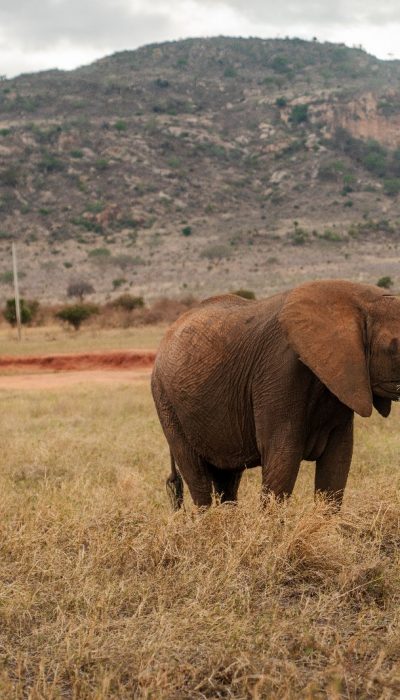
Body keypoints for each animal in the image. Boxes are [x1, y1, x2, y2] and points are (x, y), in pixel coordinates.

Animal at [151, 280, 400, 510]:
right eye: (395, 347)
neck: (358, 300)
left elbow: (337, 461)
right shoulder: (279, 371)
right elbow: (282, 458)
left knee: (227, 479)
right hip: (166, 402)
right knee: (198, 476)